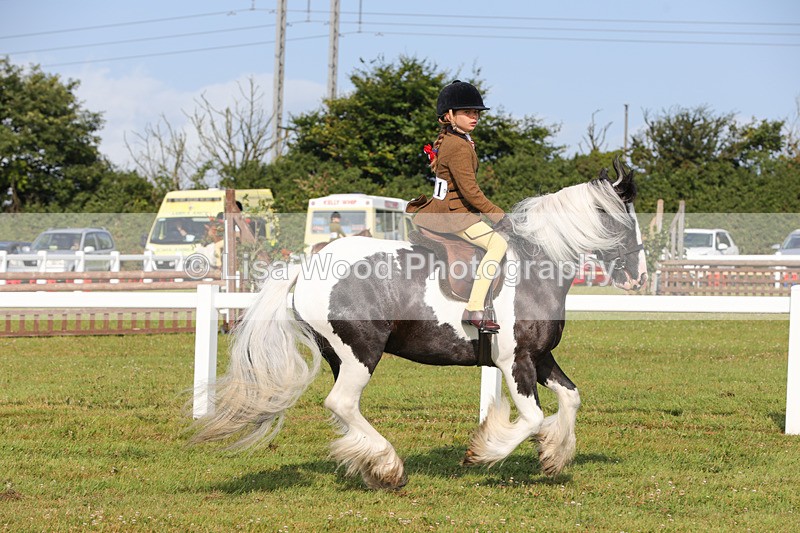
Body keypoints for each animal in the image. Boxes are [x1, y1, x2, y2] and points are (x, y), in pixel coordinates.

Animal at [191, 158, 647, 490]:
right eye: (625, 222)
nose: (639, 277)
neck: (537, 266)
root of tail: (306, 266)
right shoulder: (514, 362)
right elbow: (533, 417)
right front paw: (484, 451)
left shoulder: (540, 356)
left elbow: (571, 398)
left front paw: (552, 456)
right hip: (361, 353)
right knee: (341, 403)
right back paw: (389, 467)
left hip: (340, 356)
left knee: (344, 408)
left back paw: (372, 464)